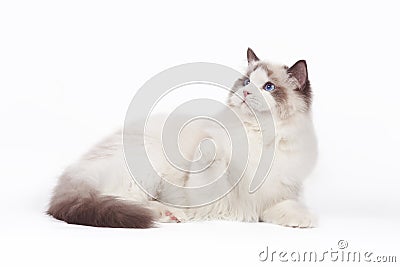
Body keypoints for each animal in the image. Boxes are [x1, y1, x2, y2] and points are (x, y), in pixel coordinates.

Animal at [47, 48, 318, 228]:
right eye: (247, 82)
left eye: (269, 87)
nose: (246, 92)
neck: (260, 136)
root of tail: (77, 167)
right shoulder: (205, 193)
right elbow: (212, 158)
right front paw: (211, 147)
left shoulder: (273, 198)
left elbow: (288, 207)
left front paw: (304, 220)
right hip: (148, 163)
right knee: (124, 200)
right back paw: (168, 214)